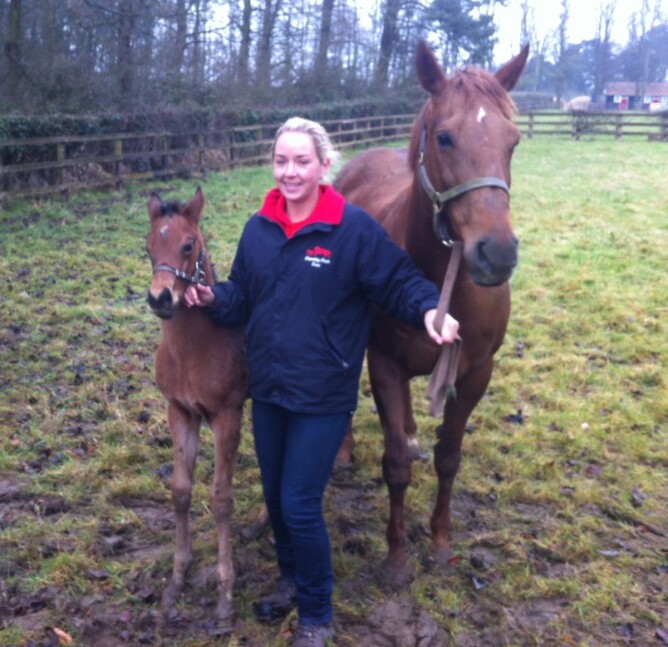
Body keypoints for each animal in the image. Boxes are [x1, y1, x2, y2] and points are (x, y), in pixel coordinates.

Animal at [333, 40, 529, 585]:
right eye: (444, 137)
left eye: (513, 141)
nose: (496, 253)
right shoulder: (385, 364)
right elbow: (397, 461)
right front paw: (397, 557)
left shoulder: (476, 371)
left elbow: (448, 457)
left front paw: (440, 544)